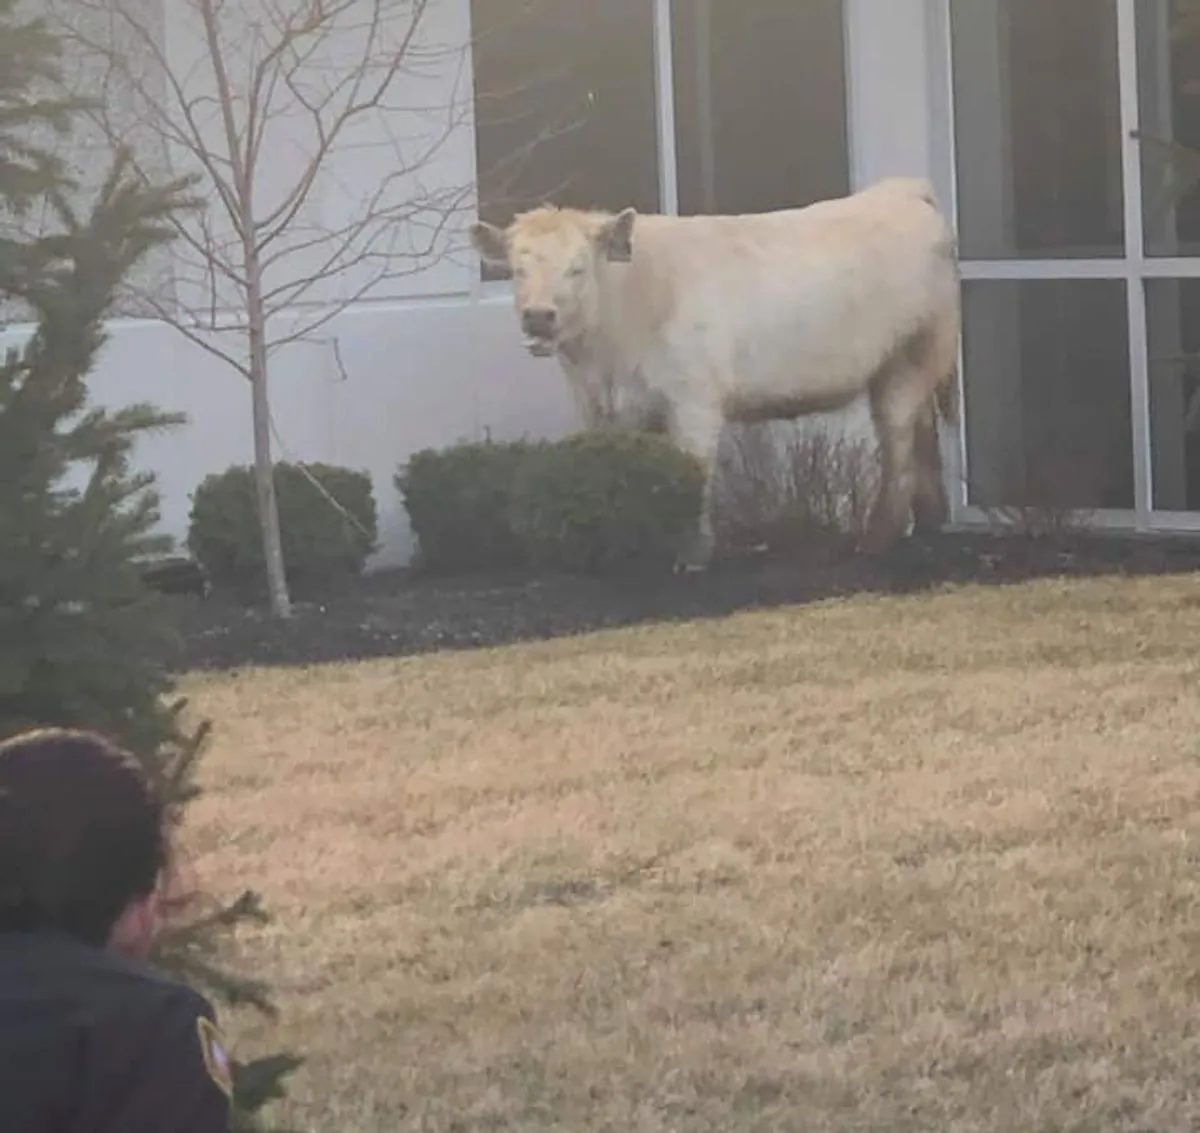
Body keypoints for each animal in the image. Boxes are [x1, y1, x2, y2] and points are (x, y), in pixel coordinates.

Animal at [469, 177, 962, 570]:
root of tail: (901, 189)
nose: (538, 317)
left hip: (908, 359)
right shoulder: (599, 409)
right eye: (516, 269)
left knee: (898, 443)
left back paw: (877, 539)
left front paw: (693, 557)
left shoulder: (693, 402)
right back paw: (931, 521)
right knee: (922, 435)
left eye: (577, 268)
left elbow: (694, 473)